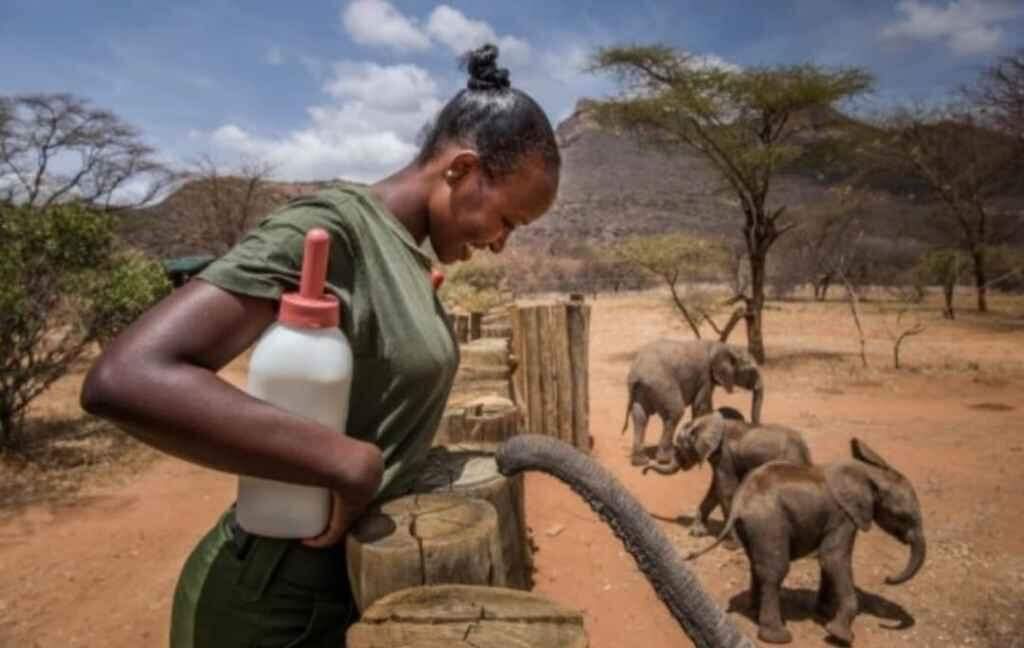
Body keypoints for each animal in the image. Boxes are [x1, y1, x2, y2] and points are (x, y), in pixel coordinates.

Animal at [618, 337, 765, 464]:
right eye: (751, 371)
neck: (722, 346)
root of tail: (636, 374)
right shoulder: (705, 376)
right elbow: (702, 406)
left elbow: (704, 406)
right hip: (662, 385)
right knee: (675, 412)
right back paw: (666, 459)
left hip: (641, 391)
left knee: (640, 417)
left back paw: (640, 461)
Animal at [643, 407, 811, 536]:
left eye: (679, 449)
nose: (644, 471)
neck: (705, 422)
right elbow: (715, 490)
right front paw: (697, 533)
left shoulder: (725, 454)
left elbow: (725, 488)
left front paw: (732, 541)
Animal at [684, 438, 925, 642]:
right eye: (903, 516)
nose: (887, 578)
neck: (868, 474)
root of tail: (739, 503)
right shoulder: (844, 516)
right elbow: (833, 559)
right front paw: (840, 636)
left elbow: (829, 562)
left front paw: (824, 614)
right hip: (769, 523)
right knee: (774, 571)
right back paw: (778, 637)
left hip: (755, 527)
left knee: (757, 565)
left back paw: (753, 612)